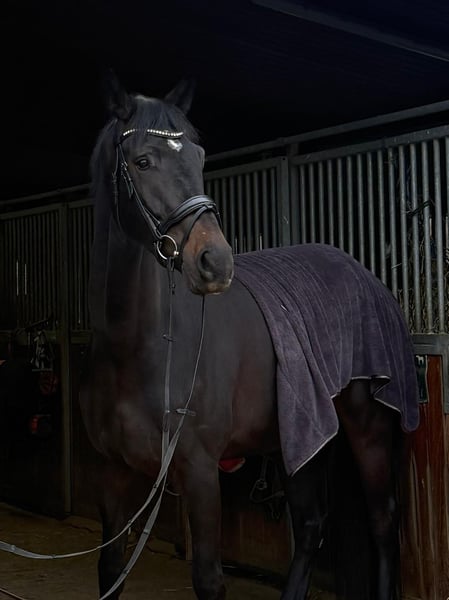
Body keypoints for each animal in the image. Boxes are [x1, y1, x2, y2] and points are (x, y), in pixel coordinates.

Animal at [79, 73, 419, 600]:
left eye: (200, 157)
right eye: (142, 161)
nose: (215, 261)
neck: (136, 349)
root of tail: (365, 276)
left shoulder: (200, 472)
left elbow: (208, 579)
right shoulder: (112, 475)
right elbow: (111, 570)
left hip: (369, 427)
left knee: (383, 522)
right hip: (303, 438)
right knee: (311, 526)